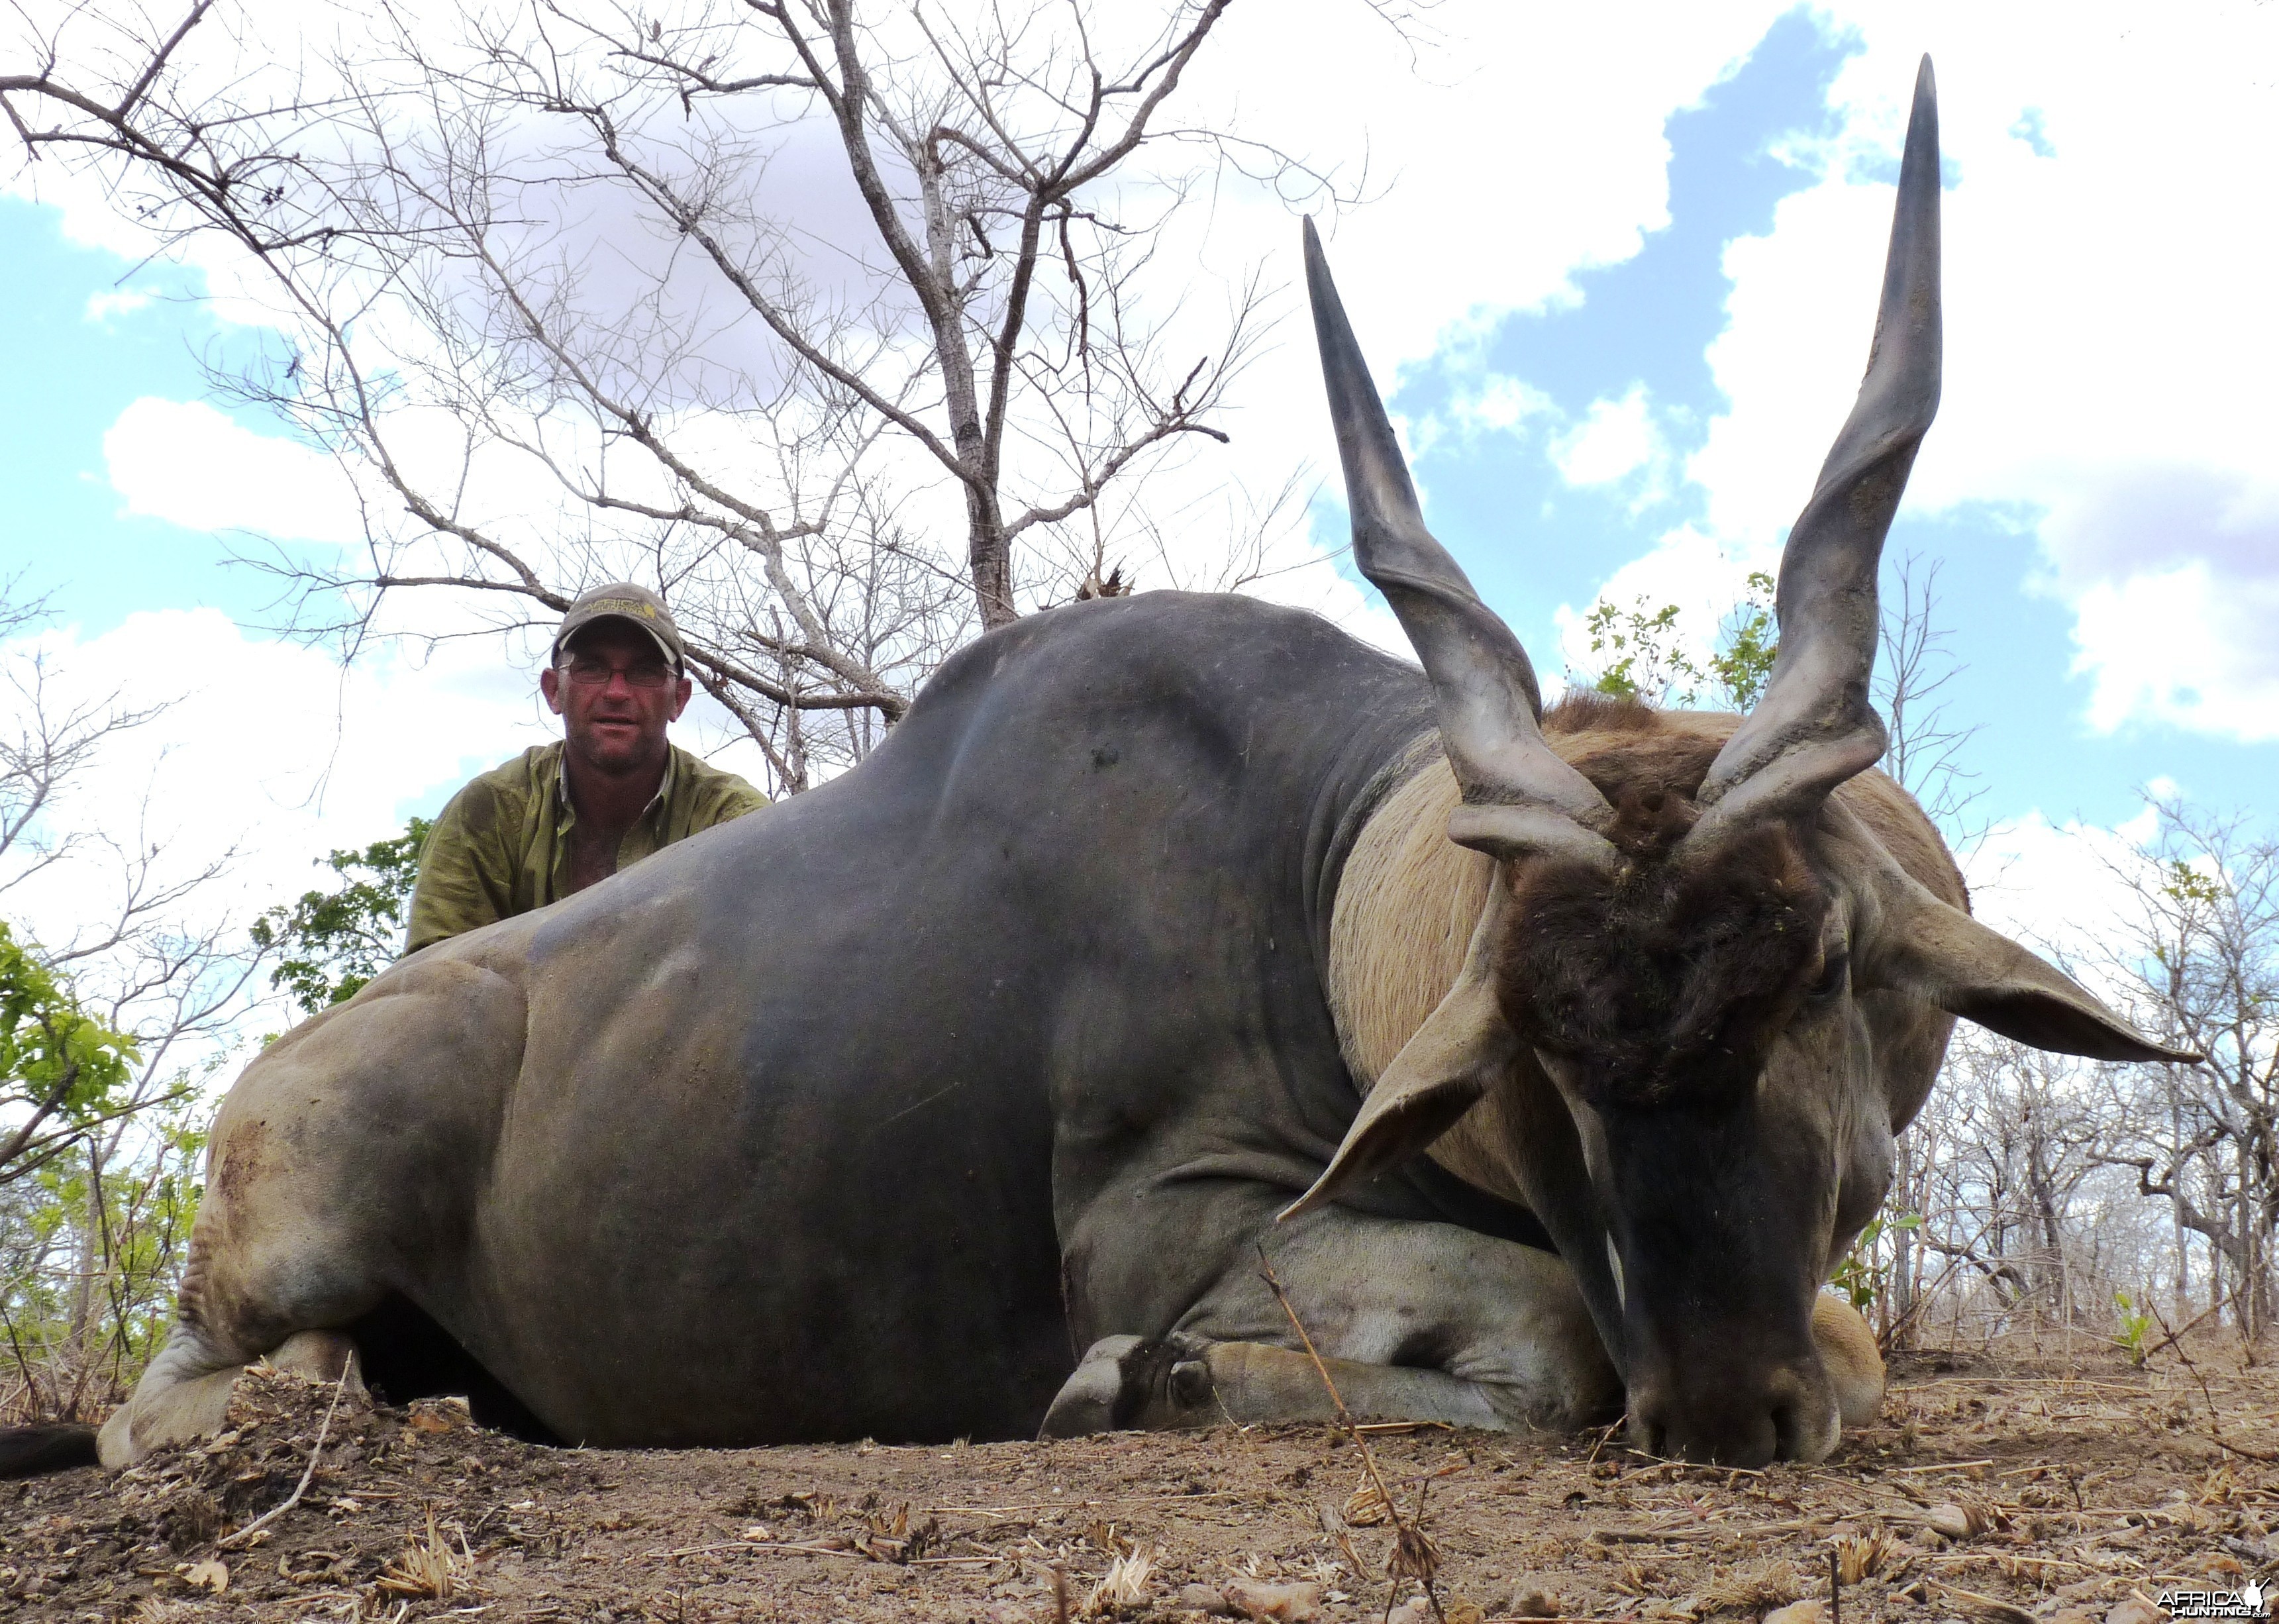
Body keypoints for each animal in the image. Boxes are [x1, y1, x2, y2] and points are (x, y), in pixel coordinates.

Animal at [4, 56, 2188, 1476]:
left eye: (1817, 970)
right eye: (1536, 1049)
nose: (1725, 1407)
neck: (1301, 860)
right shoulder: (1171, 1223)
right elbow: (1549, 1330)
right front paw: (1142, 1385)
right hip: (287, 1239)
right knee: (156, 1406)